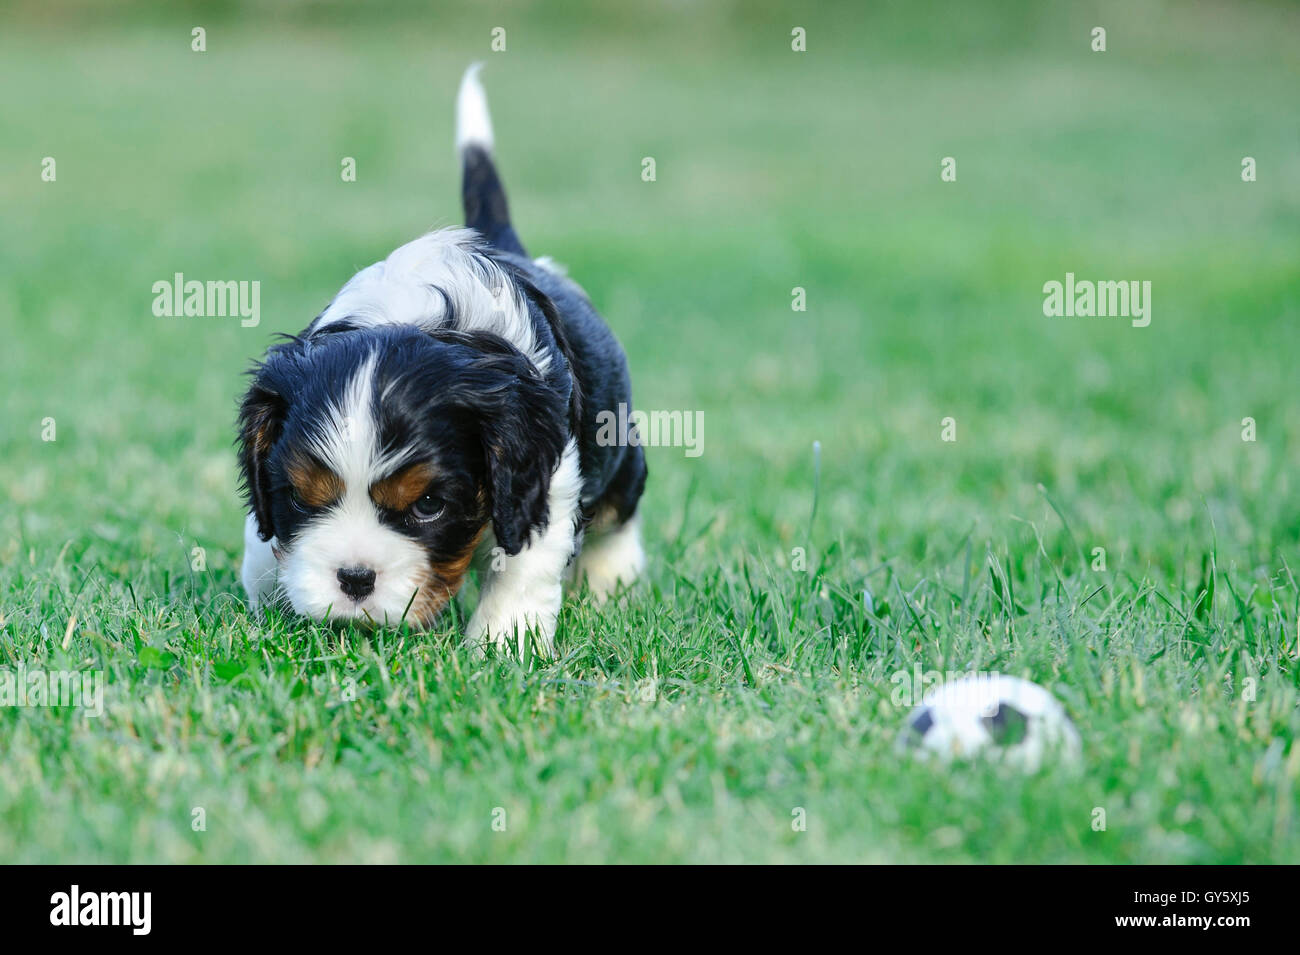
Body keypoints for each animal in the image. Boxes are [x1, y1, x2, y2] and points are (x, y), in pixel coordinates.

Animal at [236, 63, 647, 654]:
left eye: (429, 504)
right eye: (299, 495)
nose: (354, 579)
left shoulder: (545, 475)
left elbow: (524, 564)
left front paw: (503, 643)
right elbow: (261, 533)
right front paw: (270, 589)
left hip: (618, 443)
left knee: (619, 510)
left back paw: (612, 581)